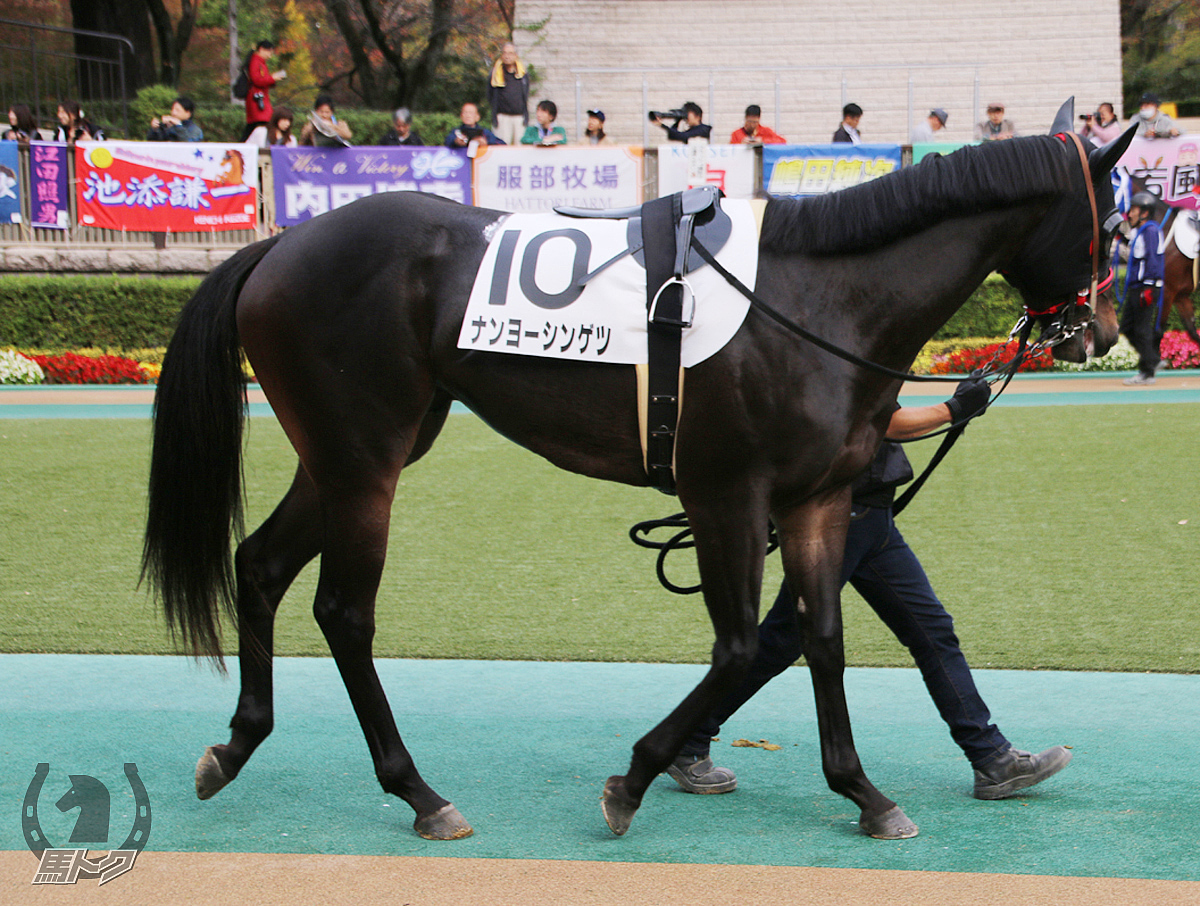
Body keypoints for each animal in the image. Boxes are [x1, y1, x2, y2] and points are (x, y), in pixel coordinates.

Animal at [142, 111, 1132, 844]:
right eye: (1116, 223)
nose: (1103, 330)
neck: (818, 304)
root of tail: (275, 248)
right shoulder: (725, 495)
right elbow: (739, 649)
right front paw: (633, 778)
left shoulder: (816, 500)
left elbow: (822, 639)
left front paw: (865, 794)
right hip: (364, 462)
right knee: (344, 613)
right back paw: (420, 793)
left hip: (351, 454)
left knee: (261, 564)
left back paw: (235, 746)